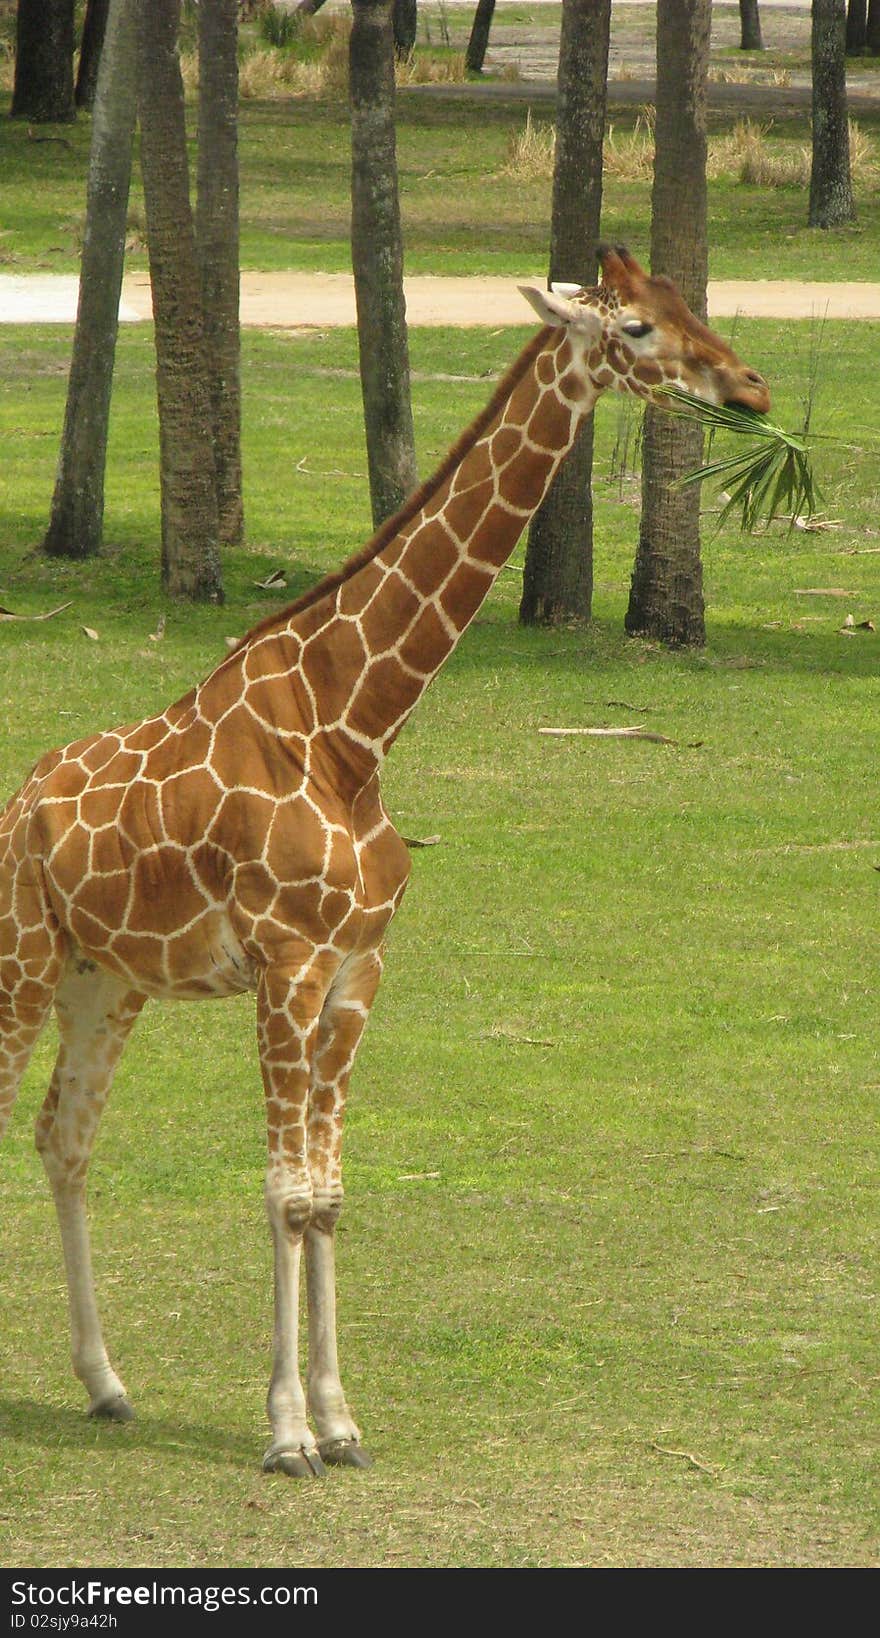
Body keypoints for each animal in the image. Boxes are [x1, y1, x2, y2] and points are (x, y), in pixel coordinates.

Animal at [1, 245, 766, 1487]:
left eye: (689, 304)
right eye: (640, 329)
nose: (747, 386)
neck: (354, 728)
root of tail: (20, 803)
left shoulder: (357, 974)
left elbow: (324, 1197)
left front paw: (340, 1422)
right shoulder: (285, 967)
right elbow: (280, 1193)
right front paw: (285, 1435)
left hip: (104, 981)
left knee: (63, 1139)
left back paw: (107, 1385)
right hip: (21, 959)